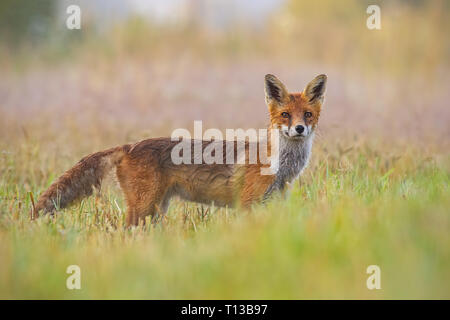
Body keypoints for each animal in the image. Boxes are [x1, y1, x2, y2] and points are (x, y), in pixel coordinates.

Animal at [34, 74, 324, 225]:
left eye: (307, 115)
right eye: (285, 115)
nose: (299, 129)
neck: (281, 167)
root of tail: (128, 146)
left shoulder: (274, 204)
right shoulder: (247, 205)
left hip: (156, 209)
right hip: (143, 207)